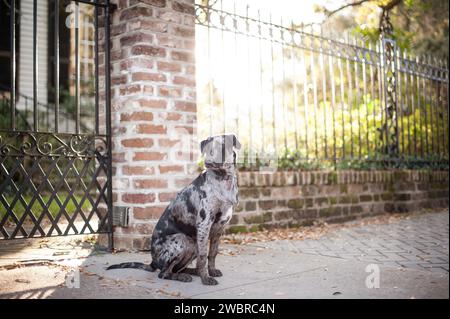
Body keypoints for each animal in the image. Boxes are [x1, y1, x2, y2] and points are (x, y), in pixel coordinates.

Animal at [107, 134, 241, 286]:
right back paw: (183, 277)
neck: (223, 179)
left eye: (221, 147)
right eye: (207, 148)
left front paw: (211, 271)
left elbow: (212, 253)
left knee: (177, 269)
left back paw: (191, 272)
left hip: (192, 244)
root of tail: (153, 261)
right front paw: (206, 278)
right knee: (164, 273)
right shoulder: (204, 224)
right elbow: (203, 256)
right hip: (183, 240)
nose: (208, 161)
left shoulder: (219, 228)